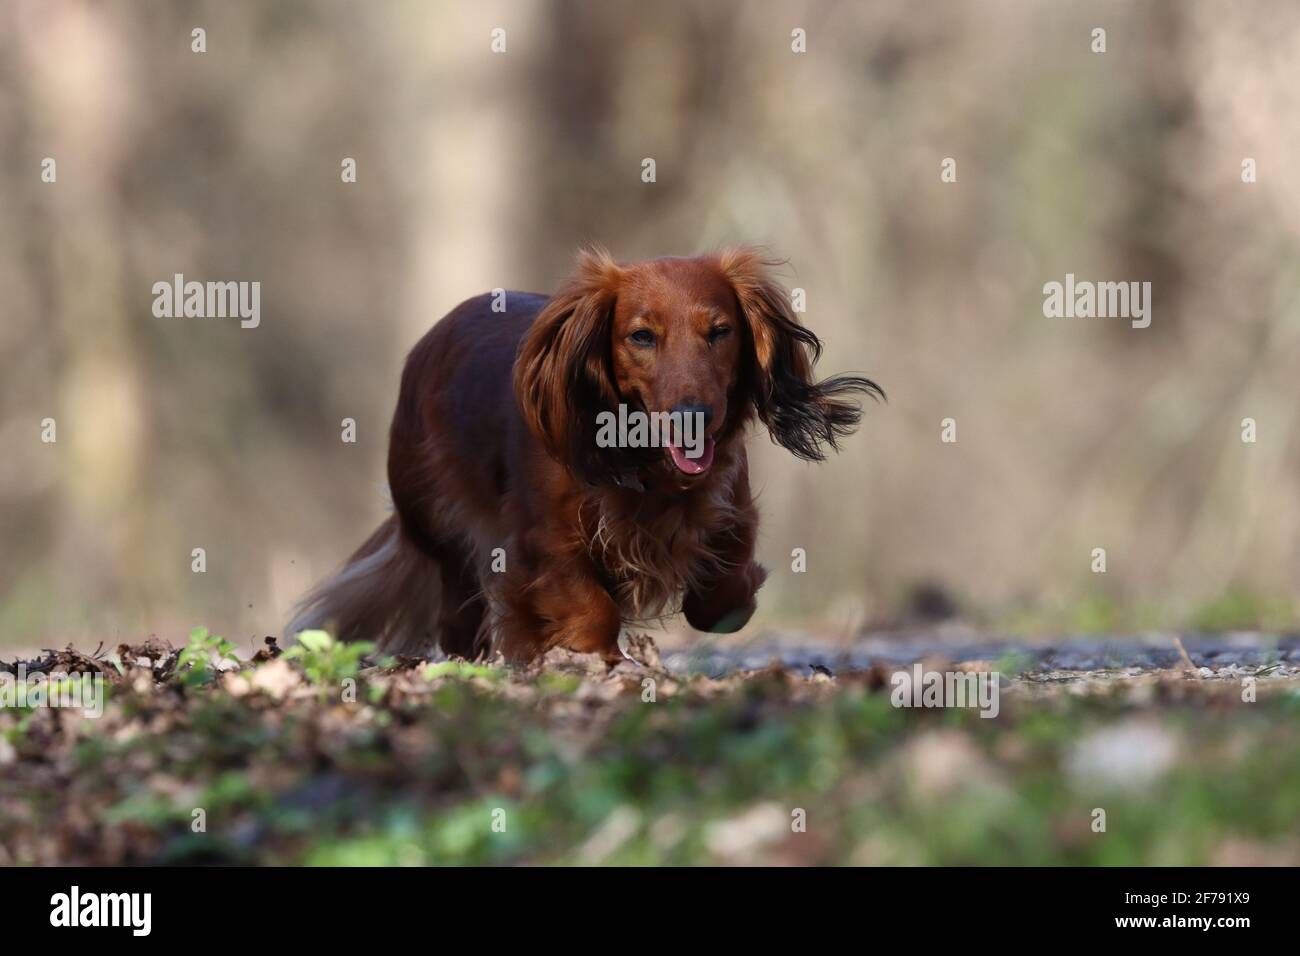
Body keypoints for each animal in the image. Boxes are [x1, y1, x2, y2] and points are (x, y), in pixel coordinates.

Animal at [291, 247, 883, 660]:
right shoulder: (544, 540)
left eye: (720, 331)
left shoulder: (731, 509)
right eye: (642, 336)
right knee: (458, 617)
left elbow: (722, 597)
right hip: (439, 532)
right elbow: (590, 608)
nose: (692, 416)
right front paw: (591, 662)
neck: (645, 465)